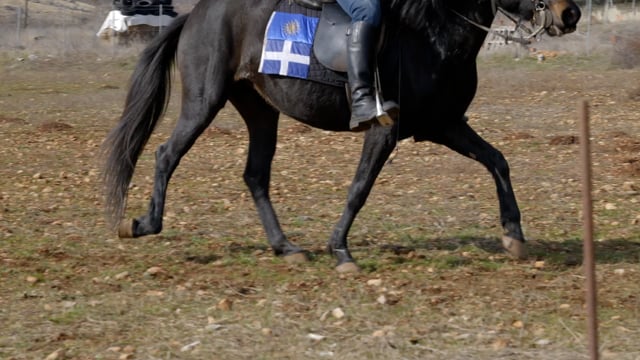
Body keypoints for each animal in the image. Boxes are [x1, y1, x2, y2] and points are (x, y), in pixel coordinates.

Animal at [100, 0, 580, 270]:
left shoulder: (443, 125)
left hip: (260, 110)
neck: (432, 32)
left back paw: (286, 247)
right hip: (204, 100)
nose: (570, 13)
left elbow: (497, 160)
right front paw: (340, 251)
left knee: (255, 176)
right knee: (166, 154)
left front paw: (513, 235)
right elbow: (359, 188)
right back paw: (142, 224)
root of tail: (195, 14)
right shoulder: (387, 130)